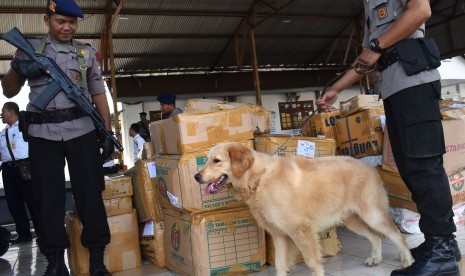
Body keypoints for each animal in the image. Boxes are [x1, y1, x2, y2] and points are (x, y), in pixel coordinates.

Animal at [194, 142, 412, 276]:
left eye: (216, 160)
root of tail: (368, 166)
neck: (260, 178)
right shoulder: (279, 235)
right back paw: (376, 258)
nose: (196, 177)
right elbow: (280, 265)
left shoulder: (302, 230)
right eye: (206, 160)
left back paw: (407, 260)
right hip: (353, 220)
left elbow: (312, 262)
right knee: (375, 237)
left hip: (372, 215)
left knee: (397, 235)